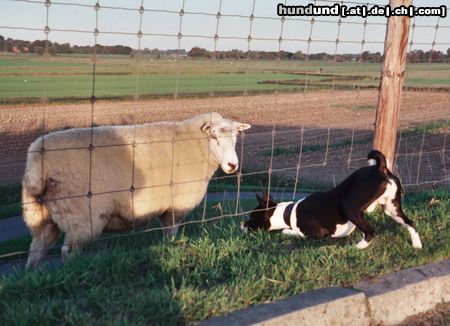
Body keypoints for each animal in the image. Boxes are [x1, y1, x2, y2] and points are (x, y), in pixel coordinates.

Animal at [22, 112, 250, 268]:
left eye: (235, 139)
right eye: (215, 138)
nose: (232, 165)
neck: (195, 145)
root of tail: (37, 163)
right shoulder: (175, 207)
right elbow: (170, 235)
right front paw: (170, 252)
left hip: (38, 214)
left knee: (36, 251)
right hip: (81, 218)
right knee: (67, 252)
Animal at [243, 150, 422, 250]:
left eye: (252, 216)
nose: (241, 225)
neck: (289, 213)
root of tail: (380, 168)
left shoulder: (317, 233)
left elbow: (288, 231)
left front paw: (287, 231)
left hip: (349, 206)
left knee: (370, 232)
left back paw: (357, 247)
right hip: (392, 208)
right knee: (410, 223)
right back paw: (417, 245)